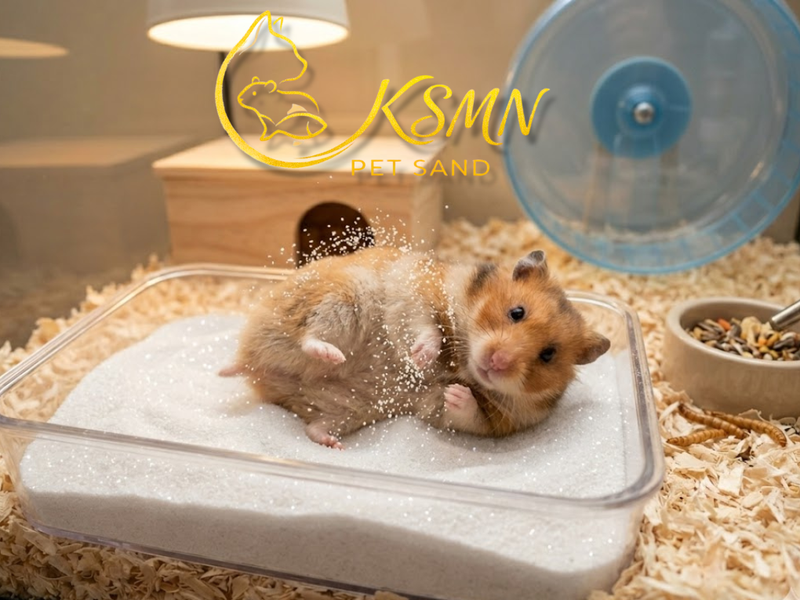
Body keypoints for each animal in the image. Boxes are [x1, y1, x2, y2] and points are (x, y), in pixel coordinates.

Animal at [221, 247, 610, 449]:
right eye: (517, 312)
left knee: (312, 426)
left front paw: (456, 393)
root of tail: (252, 364)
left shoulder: (494, 421)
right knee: (308, 337)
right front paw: (420, 358)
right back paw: (332, 355)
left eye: (548, 355)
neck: (462, 359)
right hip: (343, 299)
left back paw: (333, 444)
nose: (496, 362)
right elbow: (428, 327)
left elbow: (464, 412)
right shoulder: (421, 292)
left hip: (349, 409)